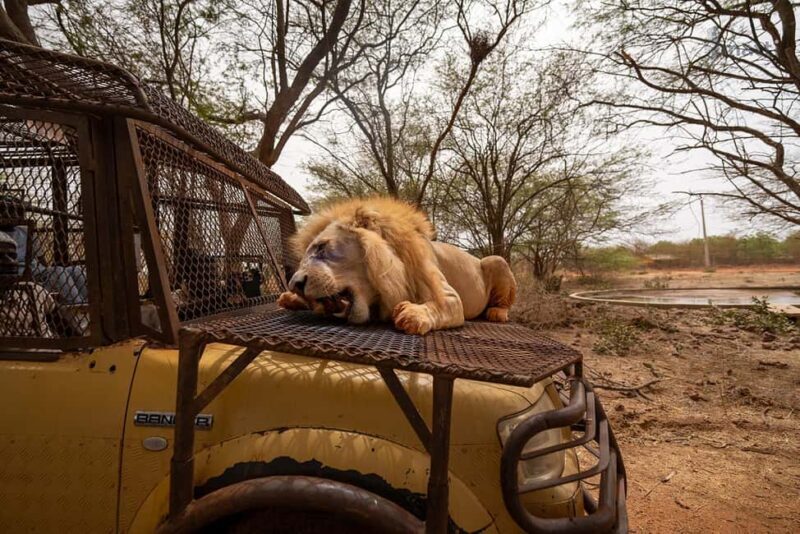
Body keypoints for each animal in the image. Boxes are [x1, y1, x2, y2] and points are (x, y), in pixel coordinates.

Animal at [277, 197, 516, 335]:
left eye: (321, 247)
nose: (295, 284)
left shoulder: (451, 297)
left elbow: (440, 305)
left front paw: (412, 314)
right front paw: (291, 298)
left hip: (496, 260)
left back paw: (497, 313)